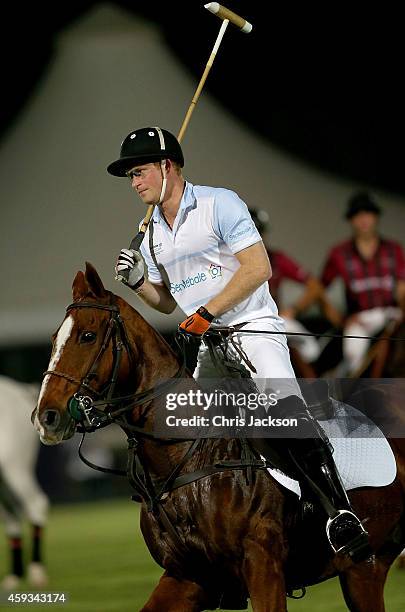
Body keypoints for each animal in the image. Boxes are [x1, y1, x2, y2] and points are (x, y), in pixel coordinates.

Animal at [32, 264, 405, 612]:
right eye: (52, 339)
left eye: (87, 335)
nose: (46, 417)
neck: (188, 458)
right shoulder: (189, 577)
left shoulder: (263, 566)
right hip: (365, 570)